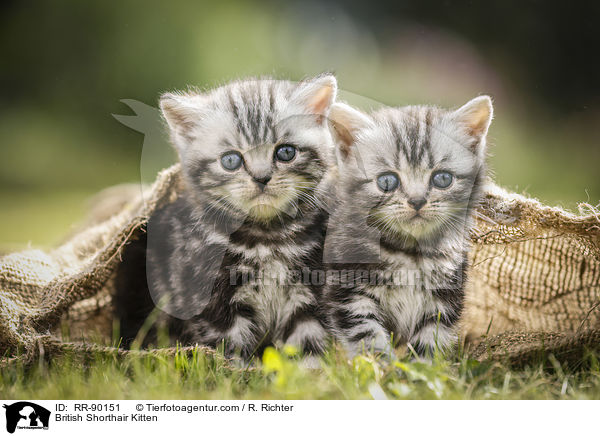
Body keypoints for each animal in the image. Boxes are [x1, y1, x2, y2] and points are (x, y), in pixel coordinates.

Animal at [120, 75, 340, 360]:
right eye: (231, 160)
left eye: (286, 153)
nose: (261, 178)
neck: (267, 238)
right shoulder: (212, 301)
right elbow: (229, 348)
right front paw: (235, 369)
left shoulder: (310, 289)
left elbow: (307, 342)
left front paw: (308, 369)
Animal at [326, 96, 494, 358]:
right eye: (387, 181)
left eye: (442, 178)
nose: (417, 201)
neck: (409, 253)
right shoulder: (349, 293)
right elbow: (367, 335)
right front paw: (379, 365)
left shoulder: (444, 299)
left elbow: (430, 340)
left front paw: (418, 368)